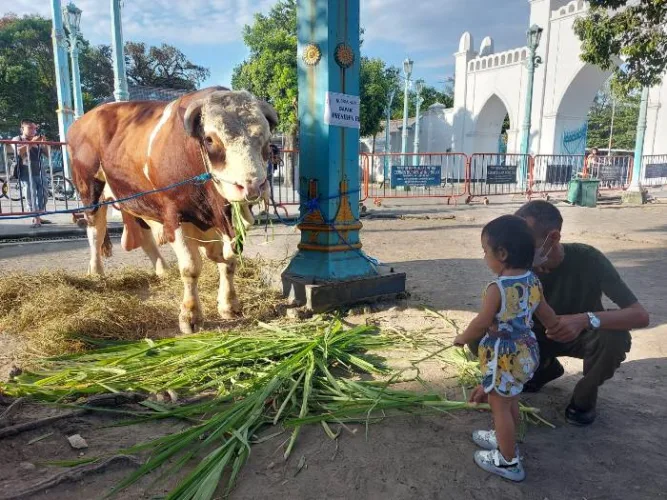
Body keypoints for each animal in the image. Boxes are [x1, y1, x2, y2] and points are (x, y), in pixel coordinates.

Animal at [67, 88, 276, 334]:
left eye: (267, 139)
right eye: (210, 139)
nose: (253, 186)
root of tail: (83, 120)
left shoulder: (228, 223)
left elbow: (228, 261)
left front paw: (229, 304)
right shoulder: (174, 216)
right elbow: (191, 267)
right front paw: (190, 316)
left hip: (136, 198)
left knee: (144, 235)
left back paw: (162, 270)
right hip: (91, 192)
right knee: (96, 232)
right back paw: (97, 273)